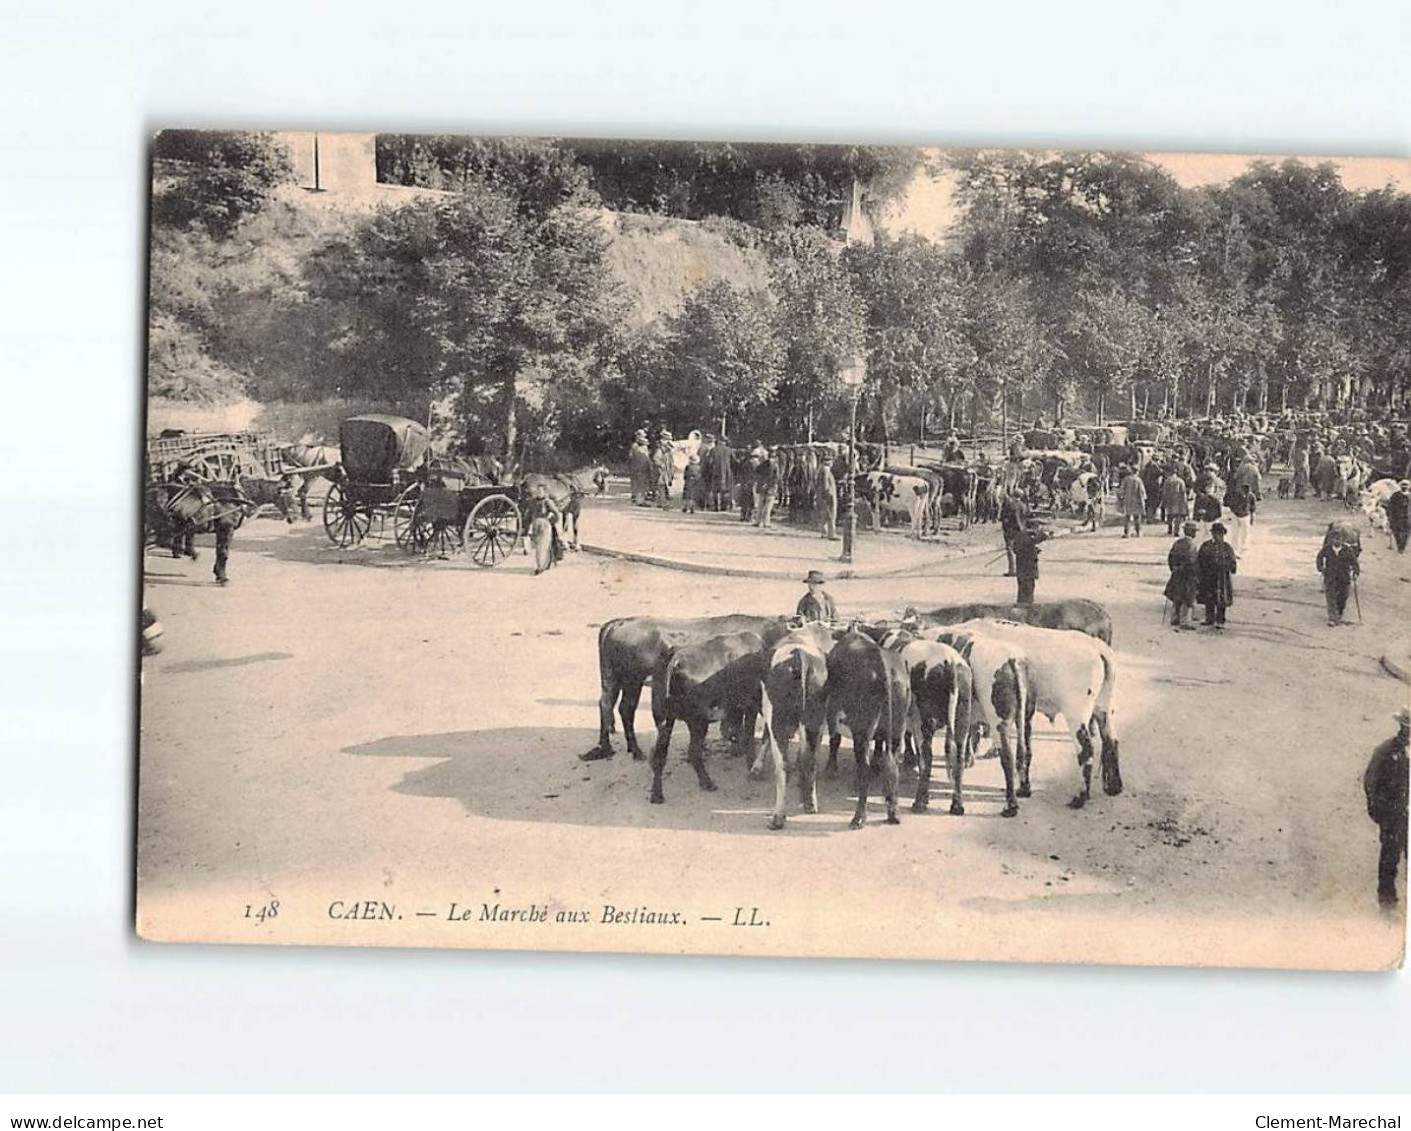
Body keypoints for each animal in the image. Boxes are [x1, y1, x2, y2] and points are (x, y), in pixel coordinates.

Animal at [581, 612, 790, 761]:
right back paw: (624, 750)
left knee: (615, 706)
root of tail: (617, 622)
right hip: (629, 680)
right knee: (614, 706)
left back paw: (620, 749)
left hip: (619, 680)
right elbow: (741, 721)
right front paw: (738, 746)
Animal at [651, 626, 773, 801]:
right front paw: (753, 766)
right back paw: (707, 783)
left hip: (664, 720)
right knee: (693, 752)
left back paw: (657, 794)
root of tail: (675, 660)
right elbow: (748, 735)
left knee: (659, 755)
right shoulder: (752, 706)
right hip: (698, 722)